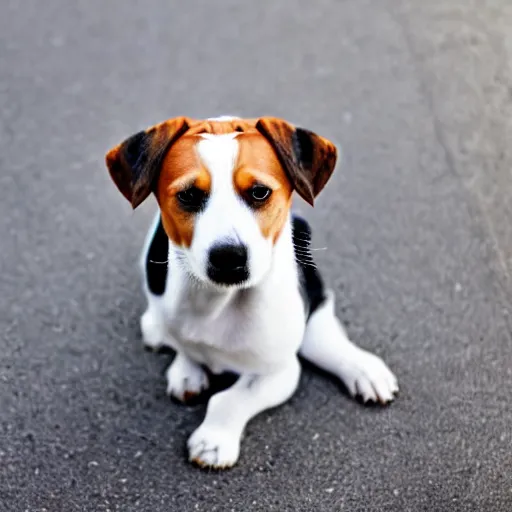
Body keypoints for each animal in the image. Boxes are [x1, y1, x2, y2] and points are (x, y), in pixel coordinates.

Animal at [105, 115, 400, 468]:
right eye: (188, 195)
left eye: (260, 192)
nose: (228, 257)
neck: (219, 303)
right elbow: (186, 346)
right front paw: (187, 367)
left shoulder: (280, 371)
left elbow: (232, 398)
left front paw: (214, 439)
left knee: (322, 333)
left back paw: (362, 367)